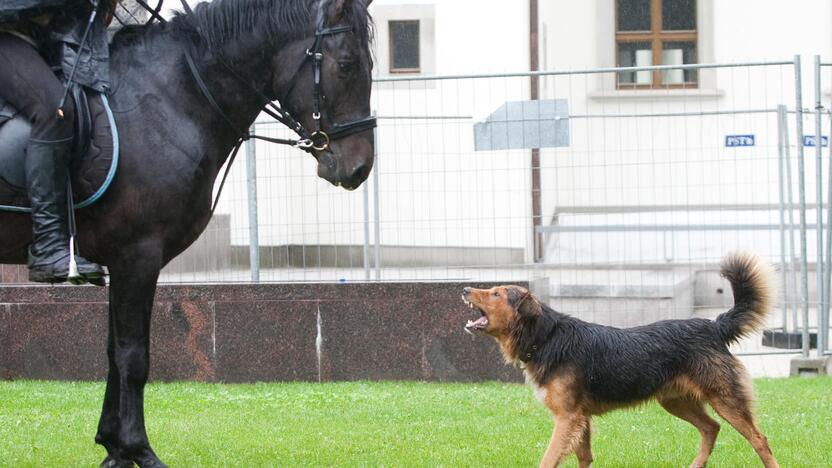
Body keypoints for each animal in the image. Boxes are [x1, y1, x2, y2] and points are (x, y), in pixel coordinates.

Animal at [0, 0, 374, 464]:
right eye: (347, 65)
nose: (360, 167)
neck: (171, 99)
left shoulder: (120, 261)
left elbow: (112, 352)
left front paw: (112, 446)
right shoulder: (138, 256)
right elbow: (133, 356)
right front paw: (138, 448)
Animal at [462, 252, 780, 468]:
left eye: (496, 293)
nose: (464, 289)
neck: (547, 338)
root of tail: (714, 326)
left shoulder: (568, 417)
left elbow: (548, 459)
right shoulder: (580, 418)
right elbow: (584, 458)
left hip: (725, 398)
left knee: (760, 440)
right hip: (675, 400)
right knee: (711, 428)